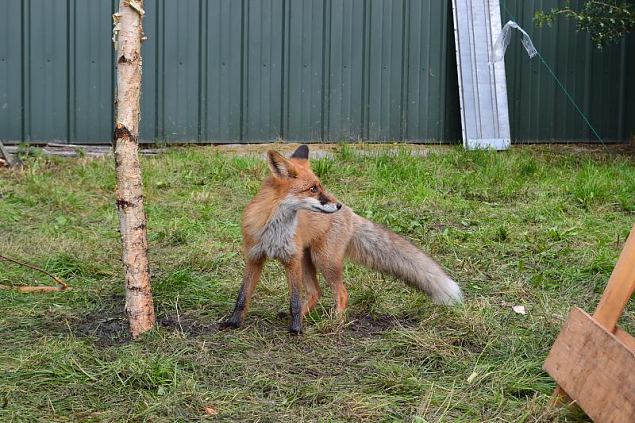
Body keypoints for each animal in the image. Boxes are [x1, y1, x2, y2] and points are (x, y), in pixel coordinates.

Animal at [224, 146, 462, 334]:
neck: (274, 228)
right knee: (316, 292)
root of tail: (351, 212)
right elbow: (243, 297)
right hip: (308, 259)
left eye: (320, 186)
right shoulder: (255, 257)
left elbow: (294, 300)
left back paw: (335, 321)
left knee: (341, 292)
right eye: (313, 189)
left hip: (323, 260)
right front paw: (232, 323)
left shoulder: (291, 260)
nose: (336, 204)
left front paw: (296, 329)